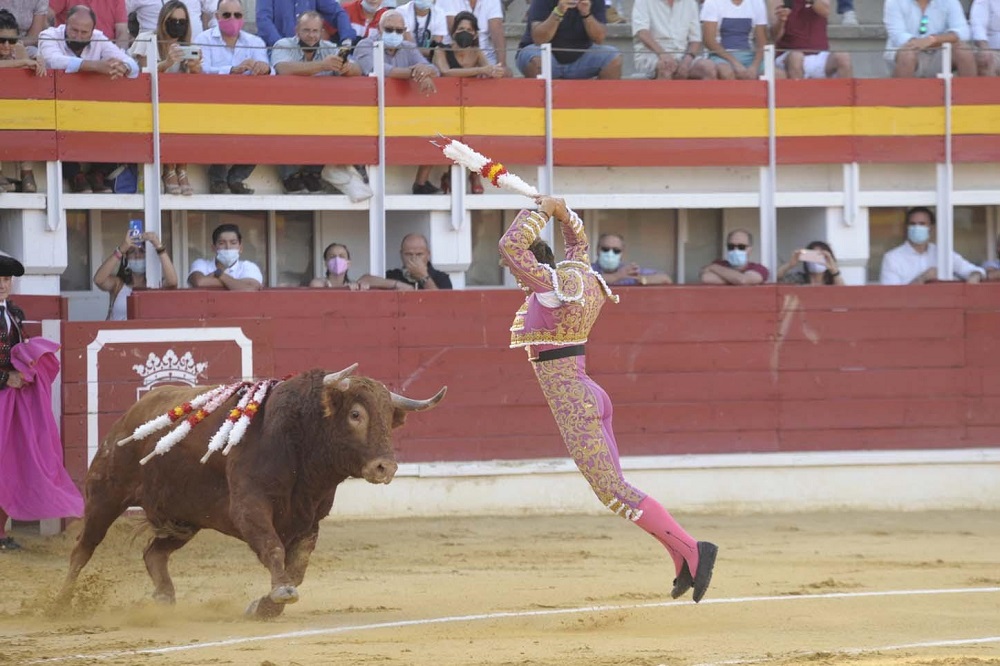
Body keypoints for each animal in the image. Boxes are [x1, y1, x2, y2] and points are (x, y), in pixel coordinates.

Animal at [55, 364, 446, 616]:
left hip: (184, 518)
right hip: (106, 495)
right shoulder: (249, 507)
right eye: (356, 415)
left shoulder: (310, 520)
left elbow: (298, 566)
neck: (300, 444)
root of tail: (127, 418)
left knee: (154, 552)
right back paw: (59, 604)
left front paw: (265, 606)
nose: (385, 468)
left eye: (390, 419)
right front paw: (279, 594)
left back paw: (164, 597)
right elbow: (274, 549)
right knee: (83, 547)